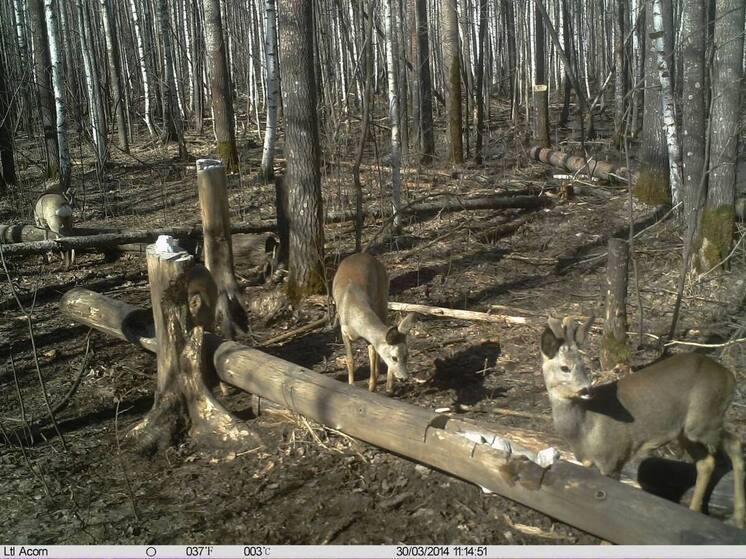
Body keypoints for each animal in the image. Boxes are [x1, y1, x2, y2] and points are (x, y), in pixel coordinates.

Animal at [334, 254, 416, 394]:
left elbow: (372, 355)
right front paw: (351, 385)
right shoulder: (343, 331)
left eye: (407, 355)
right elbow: (350, 360)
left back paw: (388, 386)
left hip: (383, 296)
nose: (404, 378)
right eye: (394, 357)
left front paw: (372, 388)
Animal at [536, 318, 740, 528]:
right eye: (565, 367)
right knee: (707, 462)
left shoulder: (613, 457)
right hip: (685, 430)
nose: (587, 389)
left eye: (583, 365)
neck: (585, 428)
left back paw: (738, 518)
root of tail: (730, 376)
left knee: (735, 442)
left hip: (704, 420)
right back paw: (695, 511)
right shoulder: (588, 461)